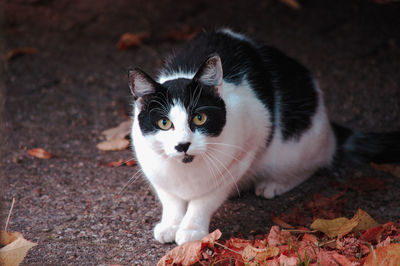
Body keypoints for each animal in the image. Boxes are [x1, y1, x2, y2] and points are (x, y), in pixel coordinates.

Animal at [129, 28, 400, 245]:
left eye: (199, 118)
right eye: (164, 123)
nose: (183, 144)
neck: (186, 170)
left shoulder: (251, 141)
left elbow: (206, 199)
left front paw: (191, 229)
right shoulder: (152, 166)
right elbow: (171, 199)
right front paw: (171, 224)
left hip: (293, 149)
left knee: (314, 162)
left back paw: (273, 183)